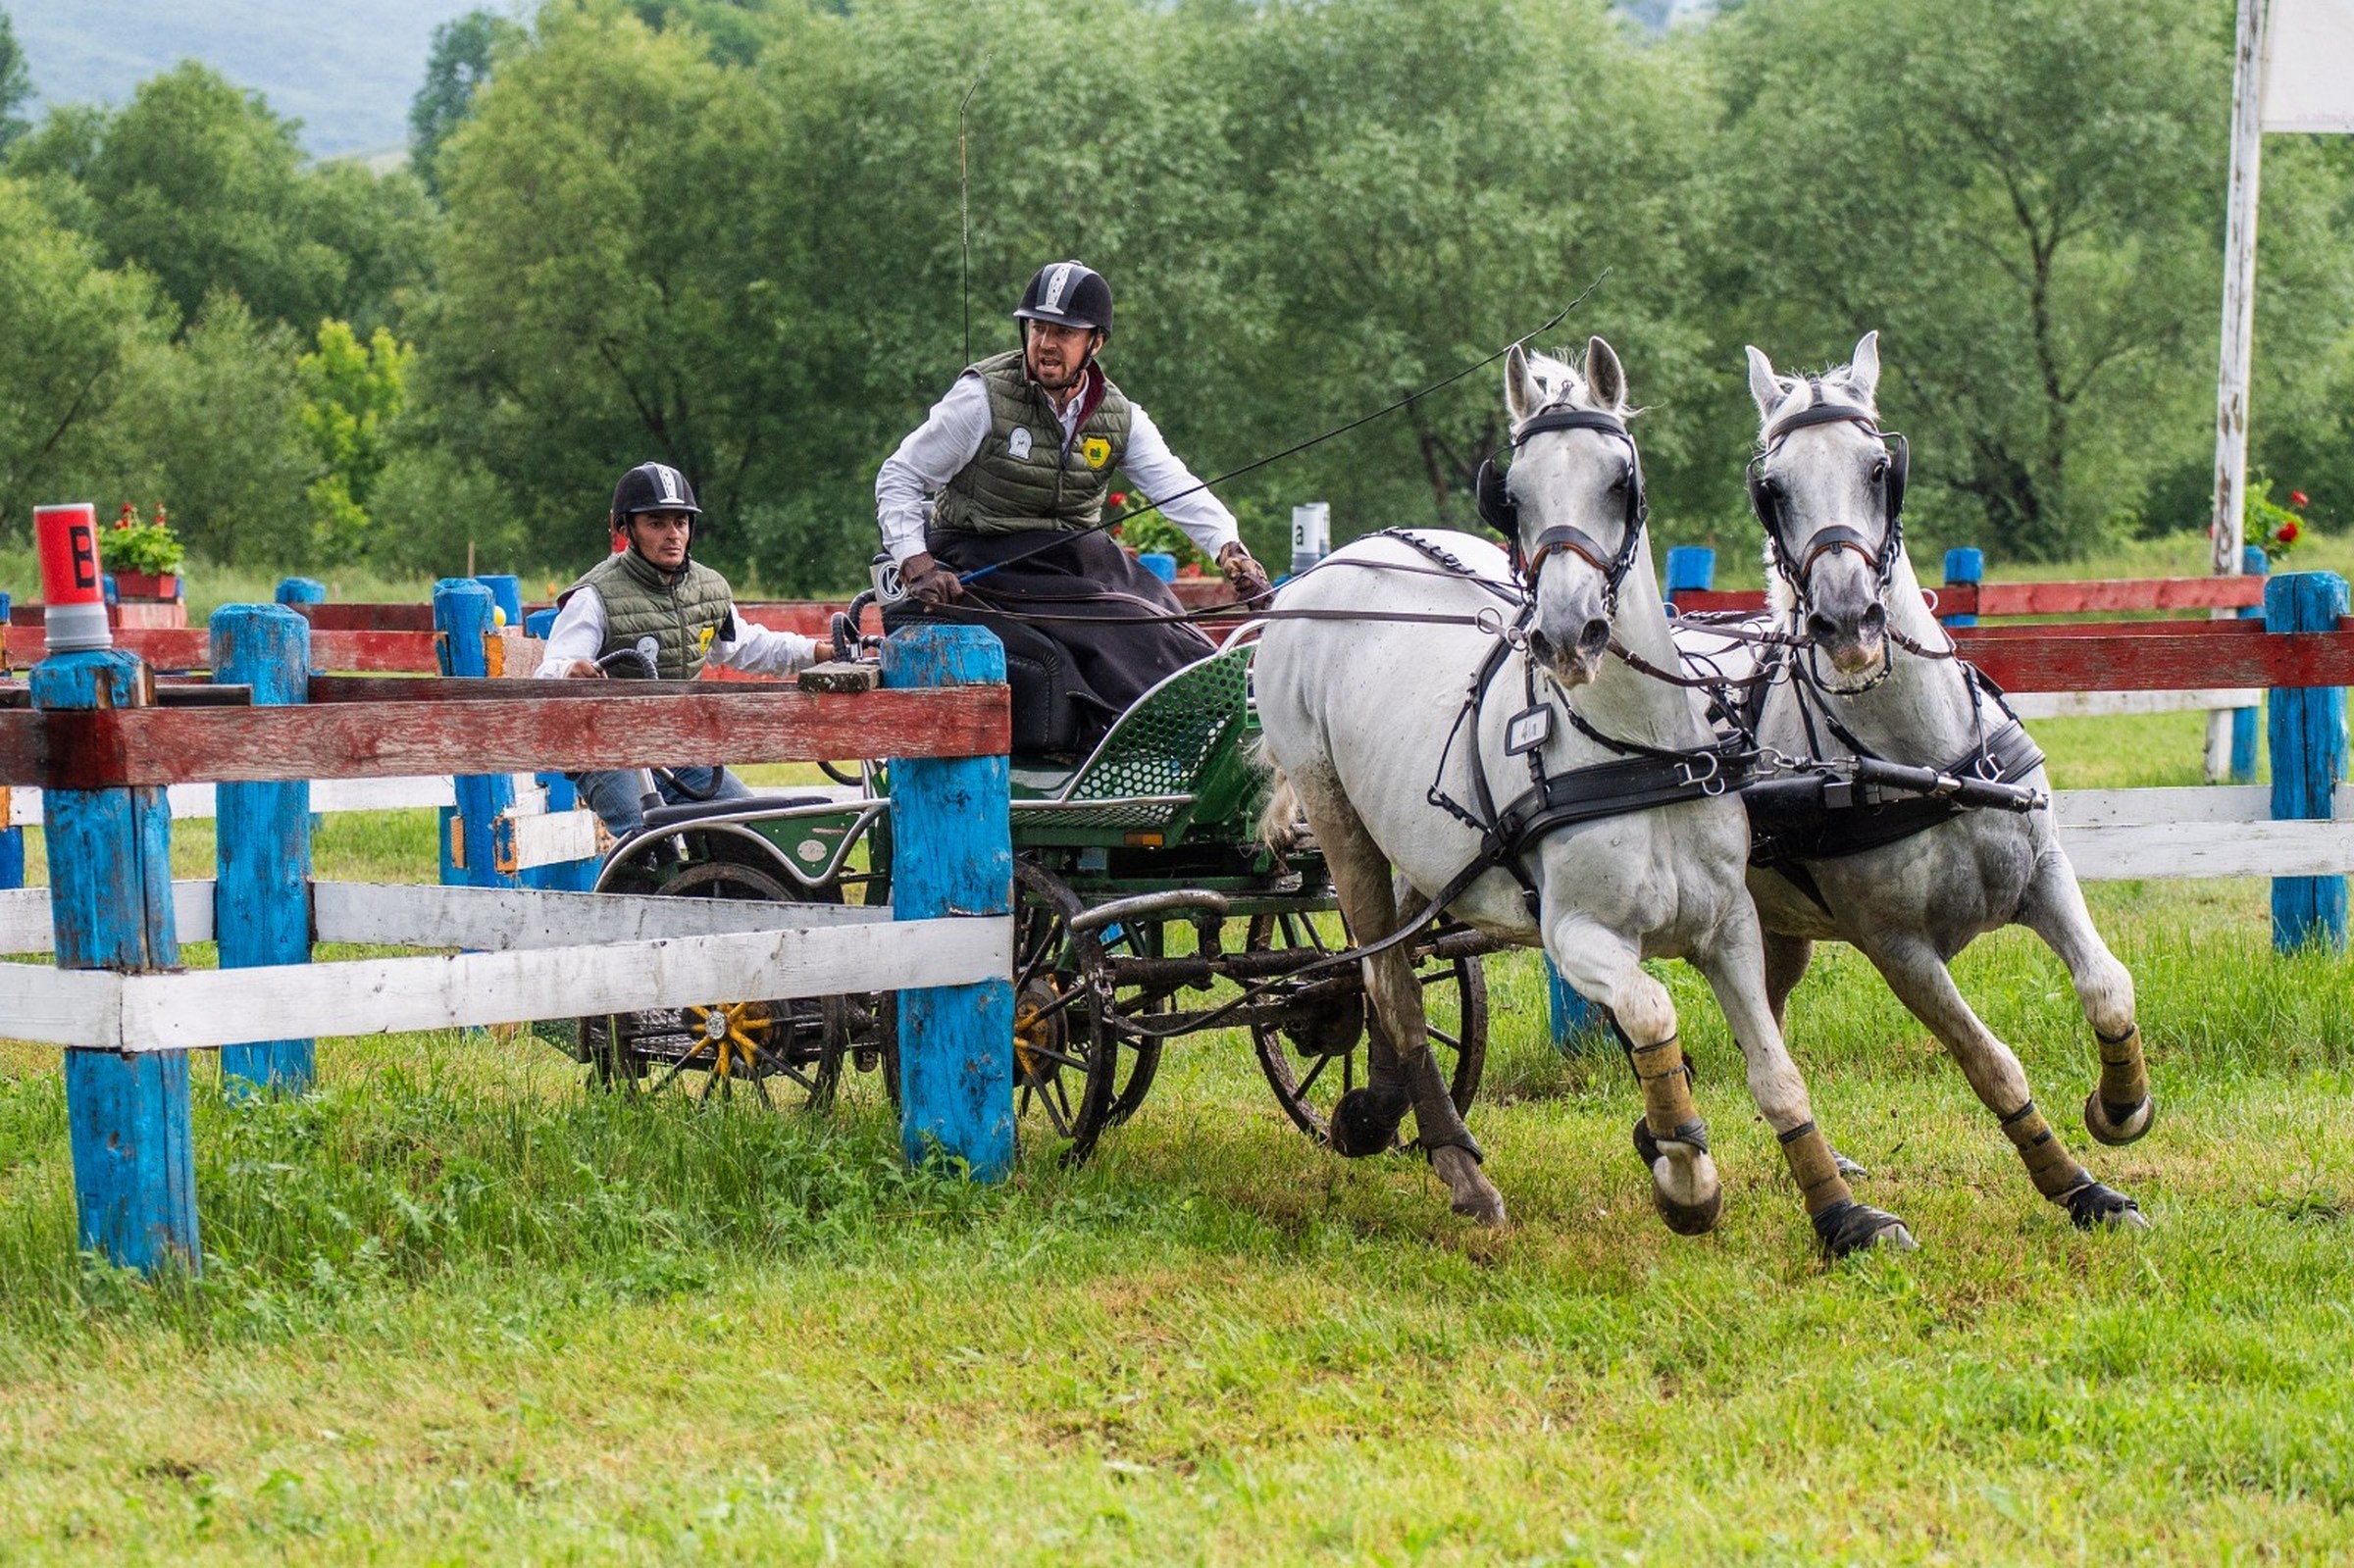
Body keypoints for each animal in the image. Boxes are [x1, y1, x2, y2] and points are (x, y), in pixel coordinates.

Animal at [1261, 336, 1902, 1252]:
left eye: (1620, 480)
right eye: (1515, 494)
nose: (1567, 633)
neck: (1640, 752)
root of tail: (1330, 566)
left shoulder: (1731, 927)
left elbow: (1776, 1072)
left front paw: (1842, 1213)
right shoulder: (1578, 936)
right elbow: (1653, 1012)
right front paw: (1685, 1174)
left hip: (1427, 851)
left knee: (1394, 971)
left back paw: (1375, 1114)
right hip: (1335, 811)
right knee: (1389, 983)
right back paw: (1459, 1169)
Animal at [1732, 336, 2156, 1224]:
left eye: (1877, 468)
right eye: (1773, 488)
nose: (1848, 623)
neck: (1922, 759)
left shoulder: (2044, 869)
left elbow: (2107, 985)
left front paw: (2119, 1107)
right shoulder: (1897, 948)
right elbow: (1988, 1059)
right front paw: (2074, 1184)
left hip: (1776, 928)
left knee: (1768, 1017)